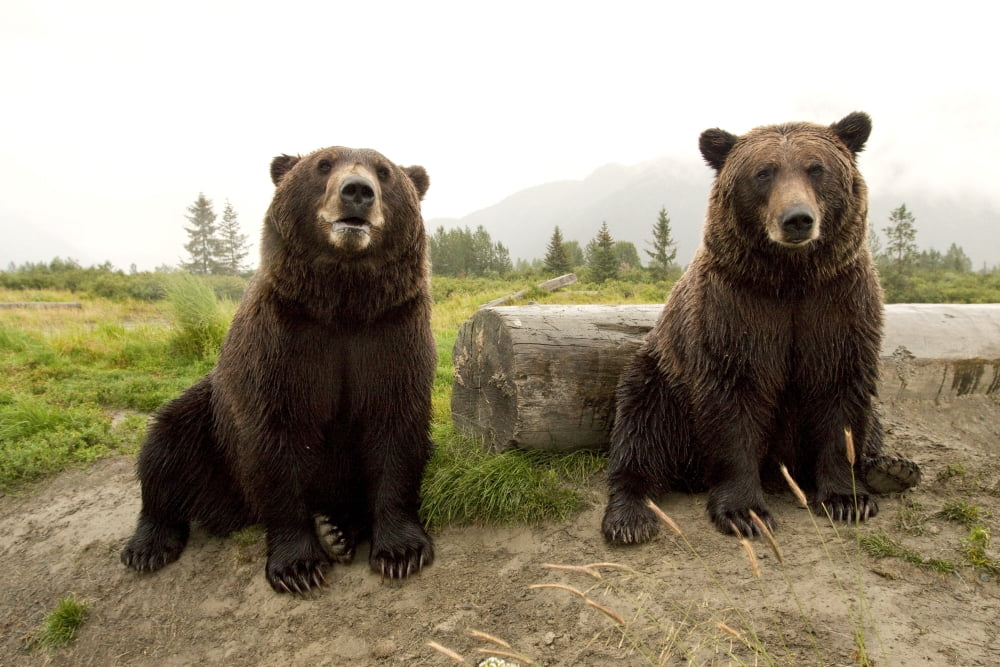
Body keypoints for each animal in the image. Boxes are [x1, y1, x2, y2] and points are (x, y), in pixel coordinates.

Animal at [121, 146, 436, 593]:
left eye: (384, 171)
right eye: (323, 164)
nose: (357, 192)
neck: (344, 302)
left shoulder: (390, 335)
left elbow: (395, 427)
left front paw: (400, 551)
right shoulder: (283, 343)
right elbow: (276, 441)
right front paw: (298, 567)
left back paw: (337, 530)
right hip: (209, 421)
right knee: (166, 444)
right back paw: (149, 544)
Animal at [602, 112, 920, 544]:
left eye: (816, 168)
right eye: (763, 172)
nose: (797, 219)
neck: (790, 277)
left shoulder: (837, 305)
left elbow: (841, 397)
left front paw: (847, 499)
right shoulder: (737, 311)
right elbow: (734, 402)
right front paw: (745, 511)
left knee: (873, 426)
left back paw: (890, 468)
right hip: (663, 384)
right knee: (641, 429)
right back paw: (630, 515)